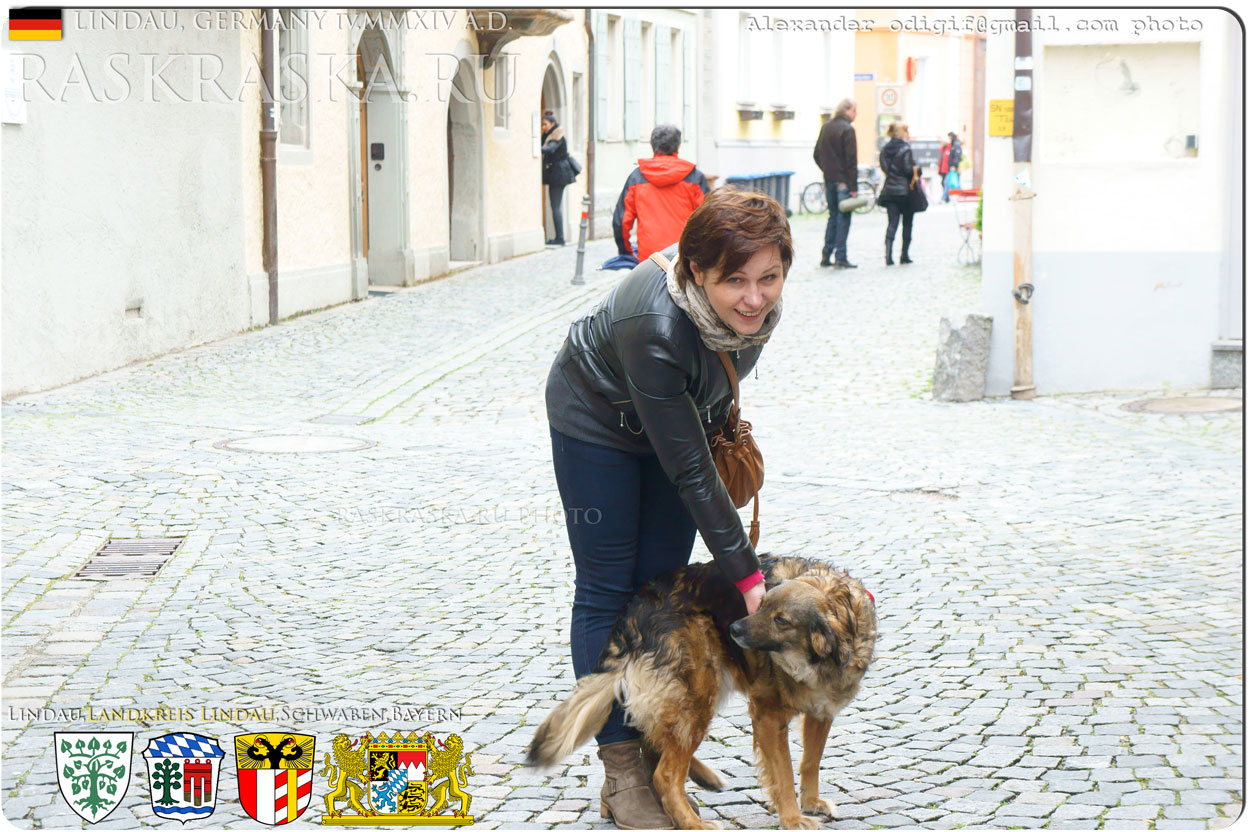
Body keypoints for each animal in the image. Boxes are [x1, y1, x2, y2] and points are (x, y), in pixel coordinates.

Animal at [527, 554, 880, 824]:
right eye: (760, 603)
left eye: (781, 620)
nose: (733, 628)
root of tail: (633, 611)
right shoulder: (767, 714)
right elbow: (783, 773)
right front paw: (793, 818)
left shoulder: (822, 711)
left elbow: (810, 761)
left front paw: (811, 802)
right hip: (698, 693)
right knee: (665, 773)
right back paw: (692, 822)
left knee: (652, 738)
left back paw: (701, 779)